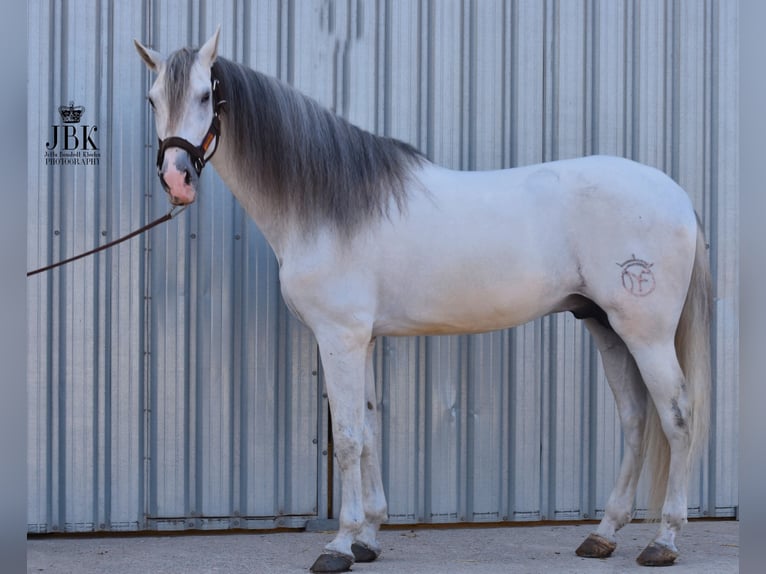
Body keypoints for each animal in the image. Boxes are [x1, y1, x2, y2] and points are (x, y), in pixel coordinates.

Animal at [136, 29, 712, 572]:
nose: (176, 179)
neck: (326, 206)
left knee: (677, 417)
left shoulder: (340, 337)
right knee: (636, 420)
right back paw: (603, 534)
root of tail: (678, 197)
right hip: (606, 327)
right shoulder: (362, 339)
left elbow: (348, 435)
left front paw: (339, 545)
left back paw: (663, 540)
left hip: (645, 333)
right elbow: (370, 429)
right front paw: (368, 539)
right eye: (152, 99)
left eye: (206, 94)